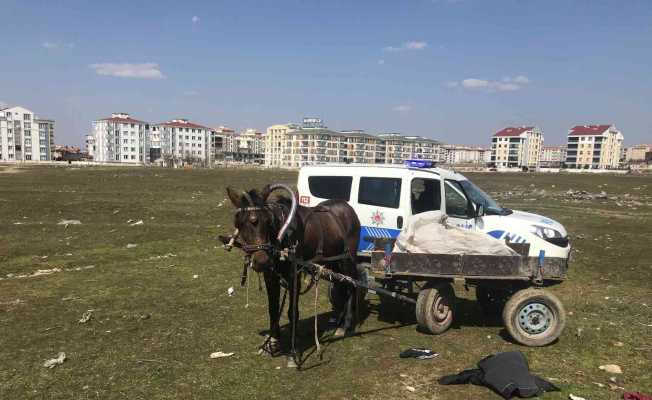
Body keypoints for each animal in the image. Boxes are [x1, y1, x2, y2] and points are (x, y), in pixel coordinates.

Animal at [224, 184, 362, 366]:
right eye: (239, 223)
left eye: (267, 221)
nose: (261, 261)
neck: (282, 236)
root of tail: (348, 208)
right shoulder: (271, 276)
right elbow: (273, 309)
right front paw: (272, 342)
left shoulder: (293, 275)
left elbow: (292, 312)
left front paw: (293, 351)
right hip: (333, 260)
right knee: (341, 285)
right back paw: (337, 321)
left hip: (347, 259)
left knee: (352, 284)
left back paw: (345, 325)